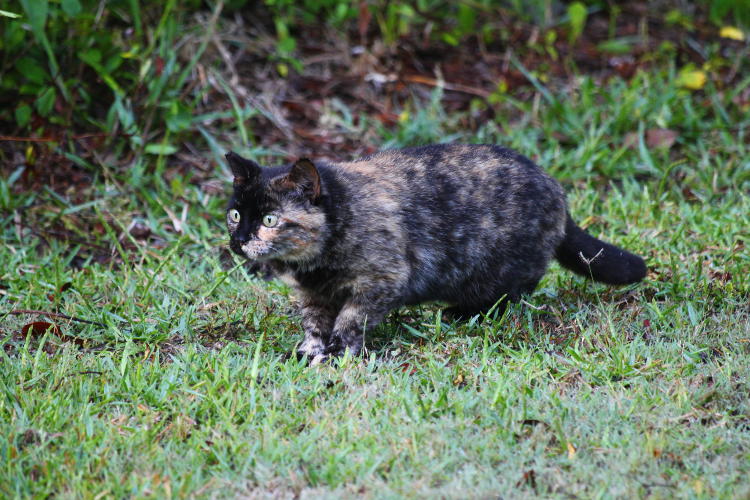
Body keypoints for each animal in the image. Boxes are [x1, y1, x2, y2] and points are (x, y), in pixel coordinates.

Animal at [225, 143, 648, 362]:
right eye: (235, 215)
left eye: (269, 219)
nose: (239, 239)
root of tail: (554, 185)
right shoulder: (313, 294)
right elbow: (314, 322)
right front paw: (311, 348)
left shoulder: (383, 280)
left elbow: (351, 319)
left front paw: (339, 351)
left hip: (498, 272)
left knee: (511, 296)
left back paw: (458, 314)